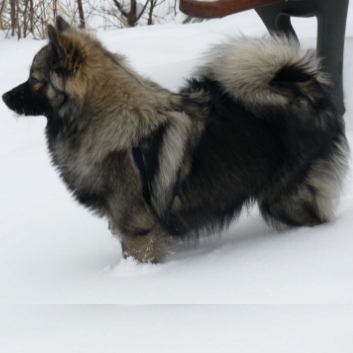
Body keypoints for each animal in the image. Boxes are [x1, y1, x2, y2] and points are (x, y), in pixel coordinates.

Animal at [2, 16, 348, 262]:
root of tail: (304, 86)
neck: (111, 120)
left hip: (284, 198)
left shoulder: (138, 230)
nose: (5, 96)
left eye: (35, 80)